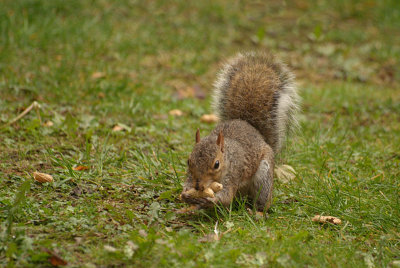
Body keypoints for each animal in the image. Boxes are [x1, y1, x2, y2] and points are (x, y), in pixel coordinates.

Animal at [180, 51, 298, 211]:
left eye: (216, 164)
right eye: (188, 161)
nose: (198, 186)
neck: (227, 159)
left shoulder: (233, 175)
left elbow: (226, 197)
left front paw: (209, 200)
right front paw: (186, 194)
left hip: (264, 175)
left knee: (263, 199)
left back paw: (257, 212)